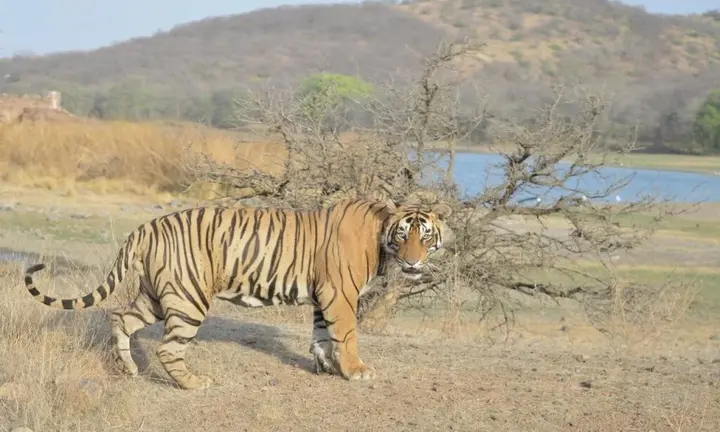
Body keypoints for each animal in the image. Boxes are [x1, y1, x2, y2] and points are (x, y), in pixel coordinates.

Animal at [22, 197, 451, 390]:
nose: (413, 261)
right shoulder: (340, 293)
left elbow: (321, 335)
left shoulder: (322, 296)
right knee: (168, 348)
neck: (381, 236)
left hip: (155, 297)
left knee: (119, 317)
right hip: (189, 297)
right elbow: (345, 335)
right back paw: (194, 383)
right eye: (404, 234)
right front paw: (356, 370)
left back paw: (129, 368)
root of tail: (145, 226)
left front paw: (328, 367)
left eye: (425, 236)